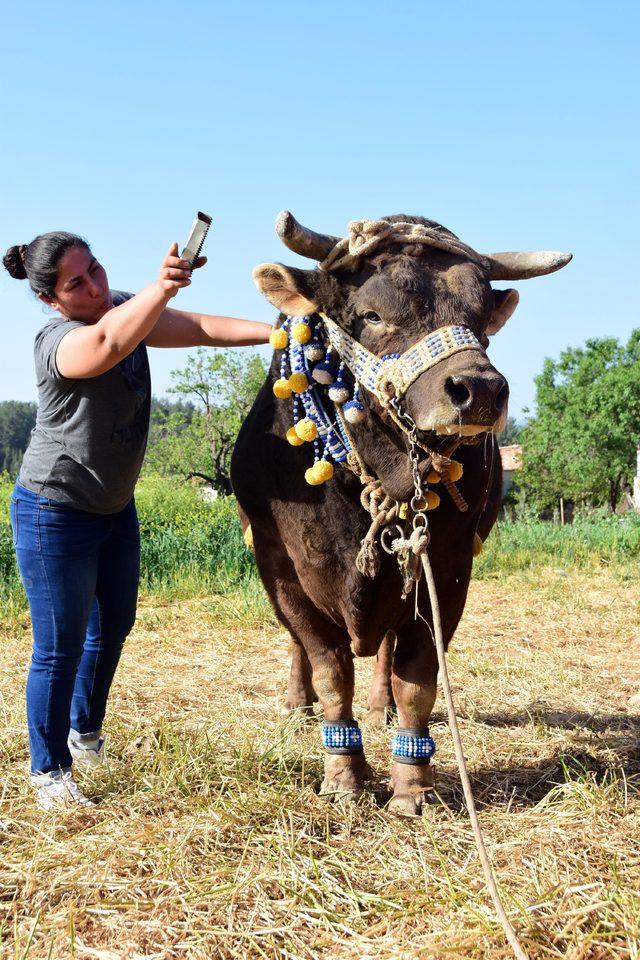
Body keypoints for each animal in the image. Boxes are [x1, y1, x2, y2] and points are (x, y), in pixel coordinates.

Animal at [232, 214, 572, 812]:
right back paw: (298, 704)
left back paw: (380, 707)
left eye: (480, 319)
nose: (479, 389)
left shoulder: (449, 568)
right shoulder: (282, 569)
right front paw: (343, 775)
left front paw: (411, 785)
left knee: (387, 651)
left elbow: (417, 675)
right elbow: (329, 669)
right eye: (372, 314)